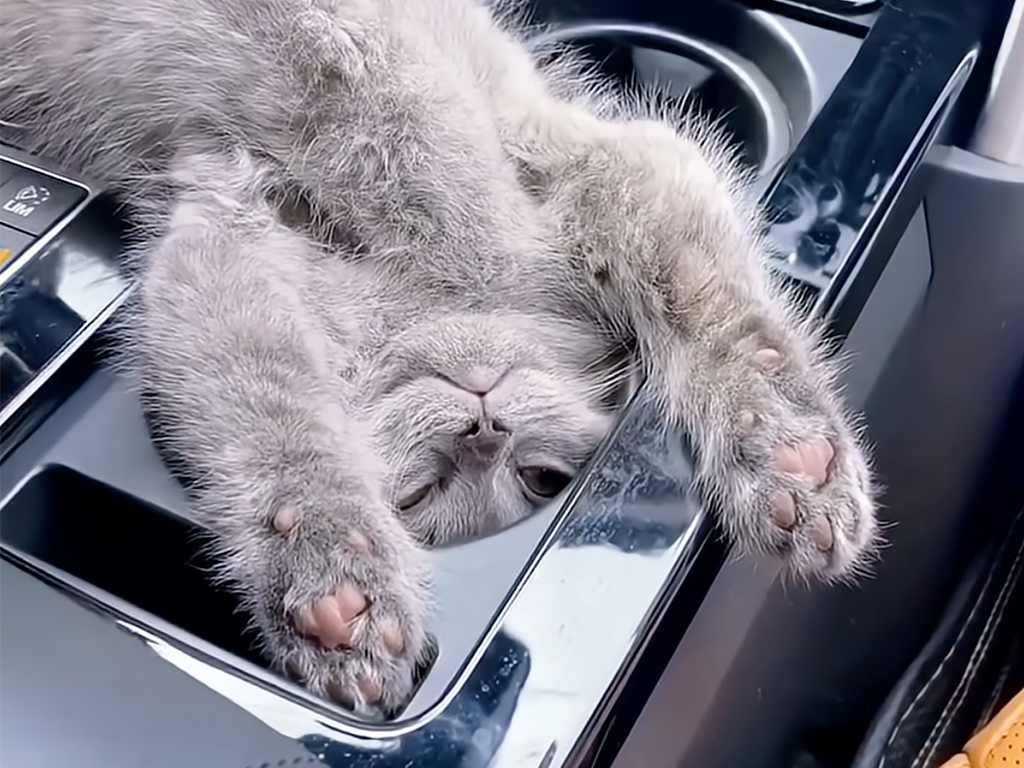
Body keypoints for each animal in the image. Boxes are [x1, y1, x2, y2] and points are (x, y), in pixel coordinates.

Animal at [0, 0, 878, 715]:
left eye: (539, 480)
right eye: (420, 493)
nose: (483, 432)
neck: (425, 289)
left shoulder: (607, 157)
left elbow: (704, 299)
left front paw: (793, 458)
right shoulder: (220, 262)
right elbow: (275, 419)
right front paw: (337, 584)